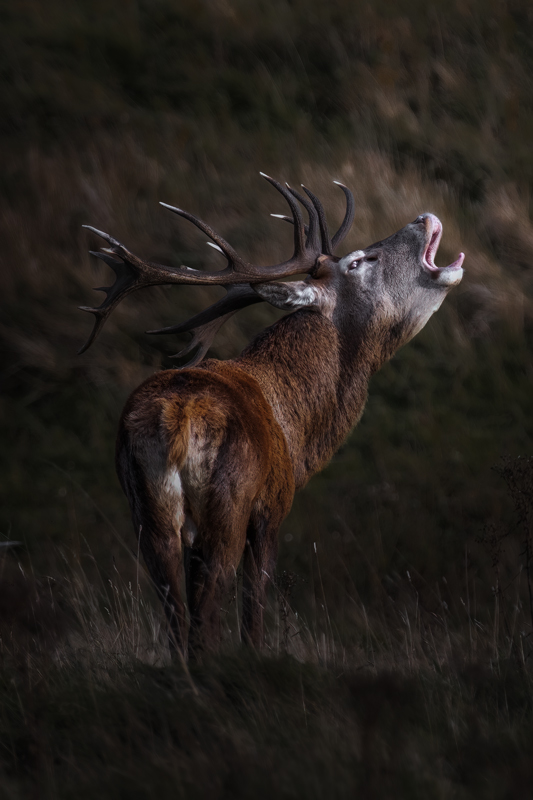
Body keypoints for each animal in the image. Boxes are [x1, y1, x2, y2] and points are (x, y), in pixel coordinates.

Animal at [79, 174, 464, 659]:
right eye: (358, 261)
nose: (422, 217)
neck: (296, 428)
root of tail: (177, 420)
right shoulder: (271, 509)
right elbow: (254, 613)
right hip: (227, 505)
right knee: (206, 618)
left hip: (148, 512)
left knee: (176, 620)